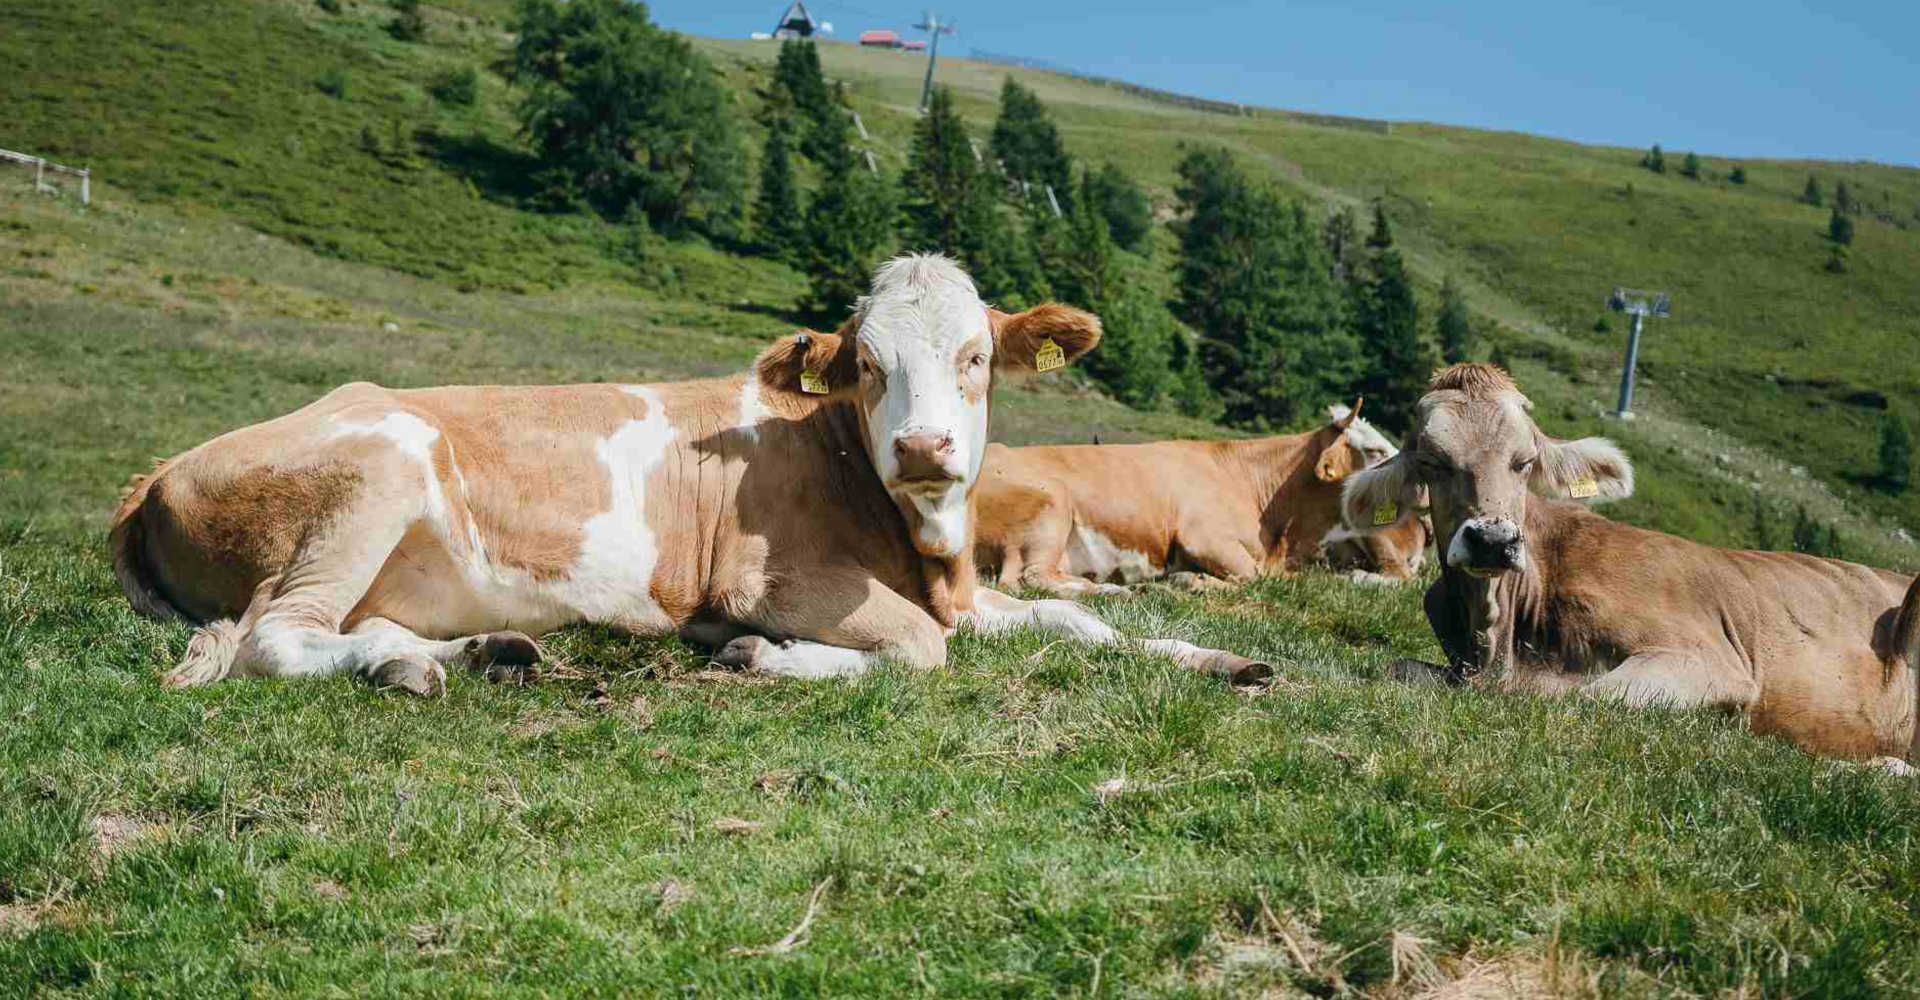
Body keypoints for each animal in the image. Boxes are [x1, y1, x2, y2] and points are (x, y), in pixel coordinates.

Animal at [109, 255, 1273, 695]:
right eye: (866, 365)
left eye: (976, 355)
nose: (923, 449)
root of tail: (166, 463)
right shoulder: (767, 580)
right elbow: (918, 648)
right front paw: (762, 654)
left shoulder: (970, 586)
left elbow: (1081, 622)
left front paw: (1217, 656)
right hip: (368, 482)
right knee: (277, 635)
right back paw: (410, 667)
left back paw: (480, 649)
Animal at [972, 403, 1429, 598]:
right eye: (1374, 450)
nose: (1425, 487)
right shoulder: (1205, 537)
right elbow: (1252, 578)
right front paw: (1190, 581)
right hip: (1053, 505)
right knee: (1028, 577)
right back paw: (1114, 590)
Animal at [1340, 362, 1920, 766]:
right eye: (1432, 462)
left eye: (1524, 462)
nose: (1491, 540)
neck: (1500, 640)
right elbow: (1398, 667)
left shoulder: (1713, 662)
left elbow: (1589, 696)